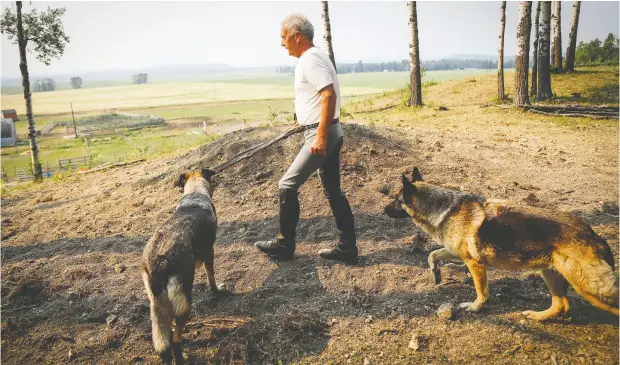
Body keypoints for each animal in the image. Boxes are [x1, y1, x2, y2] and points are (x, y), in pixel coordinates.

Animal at [142, 169, 224, 362]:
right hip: (184, 302)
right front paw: (217, 291)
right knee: (175, 340)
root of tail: (159, 263)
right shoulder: (209, 251)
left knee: (164, 339)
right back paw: (181, 356)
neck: (195, 192)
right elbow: (211, 277)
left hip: (157, 302)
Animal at [386, 166, 616, 320]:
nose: (383, 210)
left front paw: (475, 308)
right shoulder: (457, 253)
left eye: (397, 200)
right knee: (562, 305)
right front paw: (435, 273)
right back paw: (537, 316)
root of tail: (591, 232)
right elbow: (432, 254)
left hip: (586, 287)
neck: (444, 209)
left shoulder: (475, 264)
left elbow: (481, 292)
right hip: (549, 273)